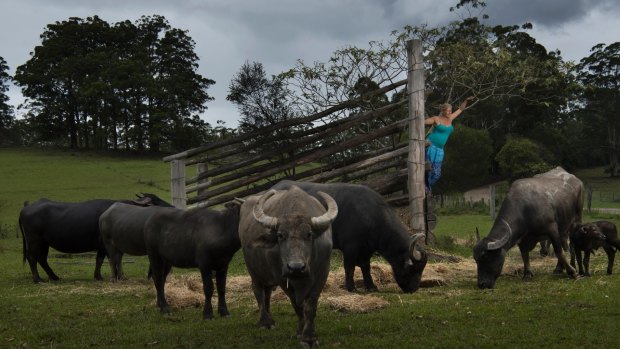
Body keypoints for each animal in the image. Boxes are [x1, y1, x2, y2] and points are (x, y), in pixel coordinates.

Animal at [18, 193, 161, 282]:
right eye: (155, 201)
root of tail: (27, 206)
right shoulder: (105, 245)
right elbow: (108, 259)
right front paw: (107, 276)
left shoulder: (103, 247)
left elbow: (100, 260)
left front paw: (98, 276)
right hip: (34, 240)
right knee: (32, 258)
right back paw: (38, 279)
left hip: (44, 243)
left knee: (42, 259)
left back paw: (54, 277)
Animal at [240, 186, 340, 344]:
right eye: (280, 235)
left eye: (309, 234)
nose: (296, 267)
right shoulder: (281, 277)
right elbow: (297, 304)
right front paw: (301, 332)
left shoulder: (323, 273)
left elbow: (310, 305)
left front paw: (309, 336)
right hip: (253, 270)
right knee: (258, 291)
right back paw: (265, 322)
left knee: (267, 292)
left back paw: (271, 320)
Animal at [272, 181, 426, 292]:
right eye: (412, 269)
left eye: (421, 269)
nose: (414, 289)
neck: (372, 216)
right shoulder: (350, 246)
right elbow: (350, 267)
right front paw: (351, 287)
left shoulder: (367, 249)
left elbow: (365, 267)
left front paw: (371, 286)